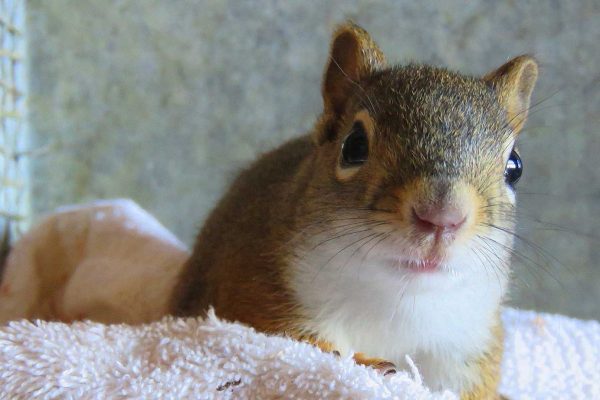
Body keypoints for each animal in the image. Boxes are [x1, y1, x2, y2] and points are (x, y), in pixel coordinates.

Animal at [170, 22, 540, 400]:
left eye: (515, 167)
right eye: (354, 146)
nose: (442, 216)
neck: (397, 303)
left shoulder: (468, 350)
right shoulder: (253, 291)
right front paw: (369, 363)